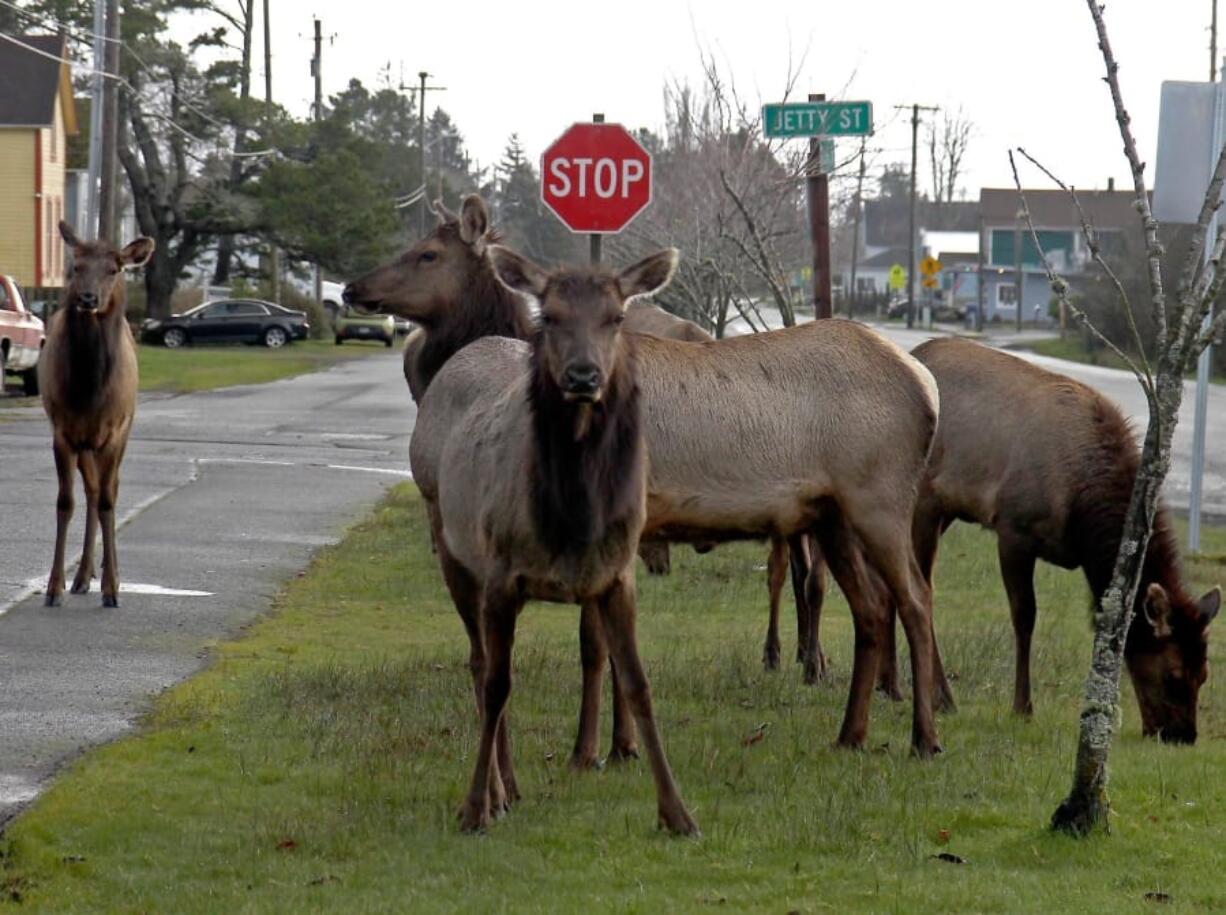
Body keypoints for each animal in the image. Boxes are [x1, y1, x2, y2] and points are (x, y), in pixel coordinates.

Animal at [38, 222, 152, 605]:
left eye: (113, 270)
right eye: (76, 266)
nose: (87, 298)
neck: (89, 392)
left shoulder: (114, 431)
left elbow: (107, 500)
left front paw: (112, 588)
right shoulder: (63, 432)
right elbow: (65, 502)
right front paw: (54, 586)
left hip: (123, 429)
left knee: (108, 490)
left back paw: (102, 574)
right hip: (86, 443)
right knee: (89, 490)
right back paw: (82, 575)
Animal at [416, 246, 696, 829]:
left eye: (616, 316)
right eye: (550, 315)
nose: (584, 375)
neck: (573, 519)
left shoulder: (617, 574)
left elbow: (638, 683)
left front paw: (677, 813)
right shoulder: (502, 573)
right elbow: (499, 683)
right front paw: (474, 808)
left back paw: (512, 785)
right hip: (451, 542)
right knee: (480, 665)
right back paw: (499, 790)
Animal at [863, 340, 1216, 740]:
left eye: (1204, 674)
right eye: (1173, 676)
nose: (1183, 736)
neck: (1084, 513)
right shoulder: (1014, 529)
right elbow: (1025, 616)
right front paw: (1023, 706)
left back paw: (890, 684)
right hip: (924, 500)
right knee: (921, 588)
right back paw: (940, 696)